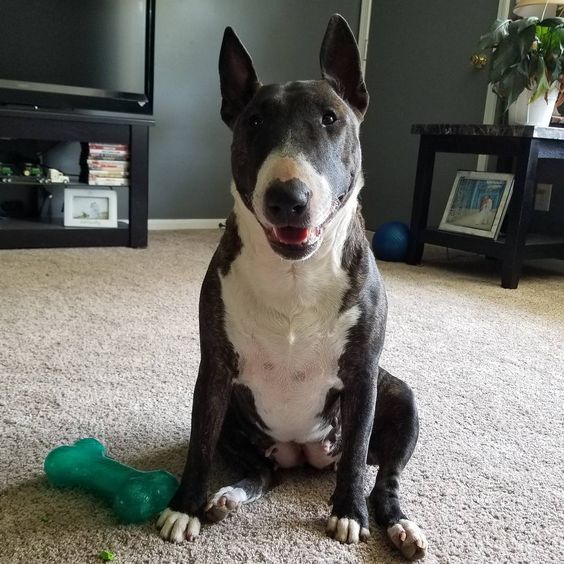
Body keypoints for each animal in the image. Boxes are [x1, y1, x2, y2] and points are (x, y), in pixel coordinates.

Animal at [159, 13, 428, 560]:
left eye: (330, 118)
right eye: (253, 123)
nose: (288, 197)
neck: (295, 275)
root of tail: (303, 454)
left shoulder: (363, 375)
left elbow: (357, 457)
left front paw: (348, 513)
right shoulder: (214, 369)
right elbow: (198, 445)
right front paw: (183, 507)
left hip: (401, 398)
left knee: (384, 476)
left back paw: (397, 525)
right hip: (238, 421)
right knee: (262, 471)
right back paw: (227, 497)